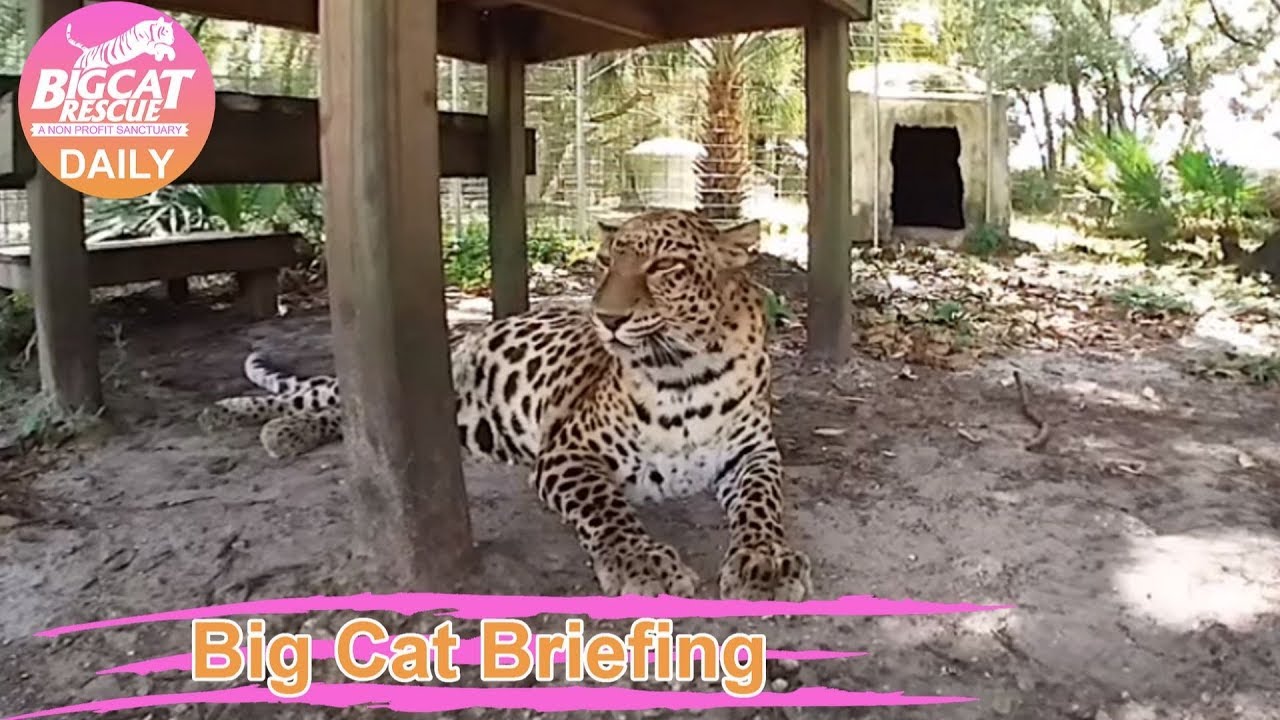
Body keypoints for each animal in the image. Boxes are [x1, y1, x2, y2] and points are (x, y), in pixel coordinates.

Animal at [198, 208, 812, 601]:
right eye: (603, 264)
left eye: (664, 268)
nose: (605, 319)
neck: (685, 373)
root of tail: (475, 335)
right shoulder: (567, 451)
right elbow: (607, 509)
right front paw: (642, 564)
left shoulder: (754, 453)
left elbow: (762, 503)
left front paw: (764, 563)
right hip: (455, 397)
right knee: (334, 401)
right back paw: (261, 422)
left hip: (477, 425)